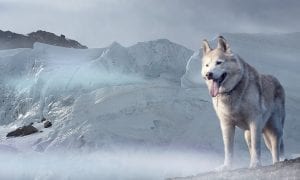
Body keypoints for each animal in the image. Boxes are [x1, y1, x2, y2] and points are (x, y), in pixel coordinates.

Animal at [203, 36, 284, 169]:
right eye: (207, 65)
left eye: (219, 62)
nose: (208, 74)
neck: (232, 92)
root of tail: (277, 81)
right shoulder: (226, 124)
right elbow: (228, 149)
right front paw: (226, 167)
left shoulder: (254, 121)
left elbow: (257, 147)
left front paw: (256, 164)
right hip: (248, 135)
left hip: (274, 129)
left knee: (276, 148)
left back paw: (276, 162)